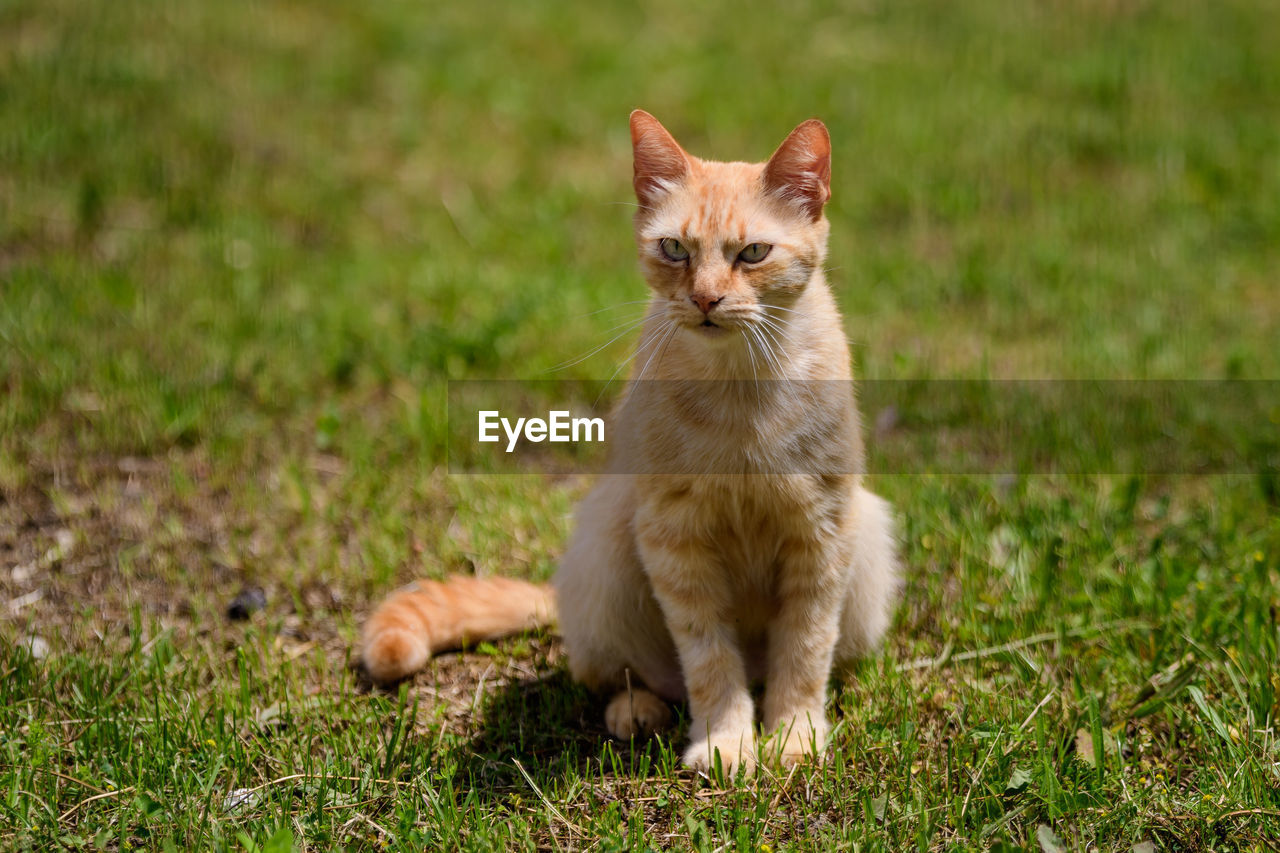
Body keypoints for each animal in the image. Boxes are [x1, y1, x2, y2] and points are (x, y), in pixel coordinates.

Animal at [360, 111, 901, 768]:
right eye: (675, 249)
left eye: (753, 252)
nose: (705, 298)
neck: (740, 392)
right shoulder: (674, 538)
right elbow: (708, 659)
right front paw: (727, 742)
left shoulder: (822, 533)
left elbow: (805, 649)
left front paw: (794, 735)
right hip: (606, 543)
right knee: (627, 674)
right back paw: (637, 711)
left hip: (868, 540)